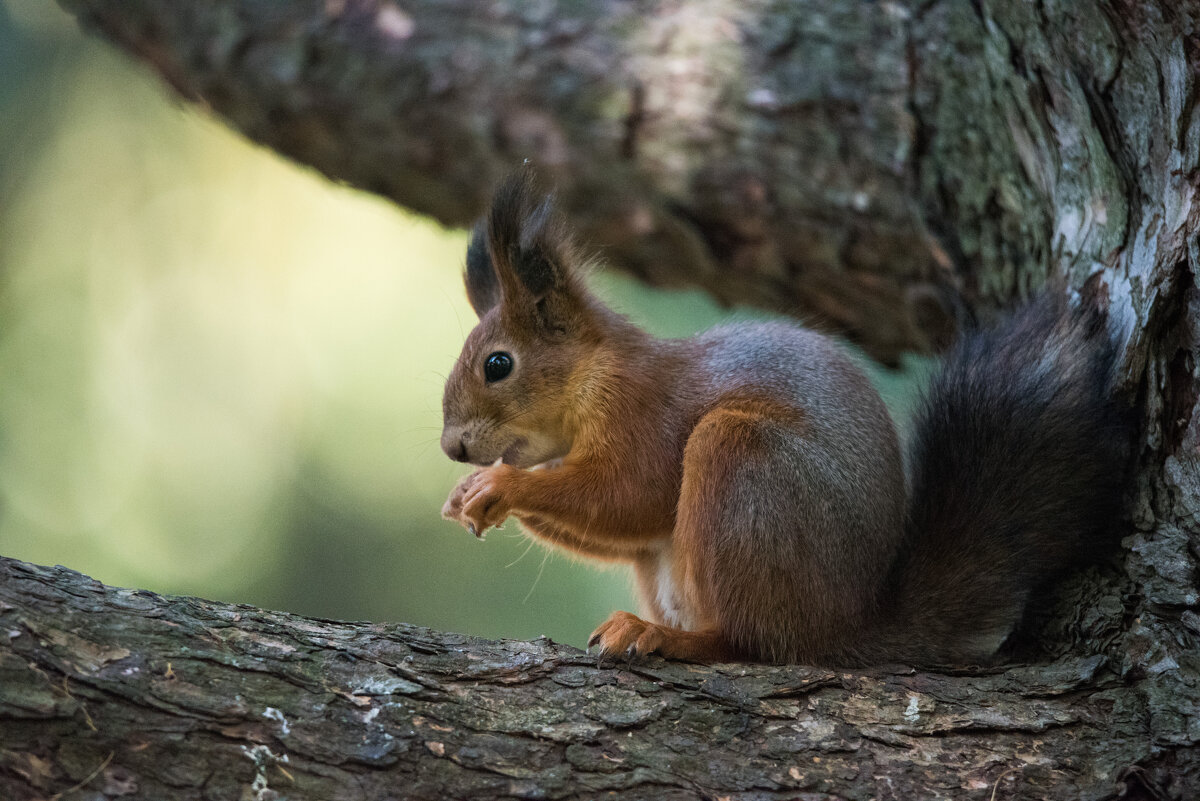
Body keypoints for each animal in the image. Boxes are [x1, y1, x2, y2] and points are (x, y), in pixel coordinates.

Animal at [439, 172, 1123, 666]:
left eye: (498, 364)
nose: (452, 447)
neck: (592, 377)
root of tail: (846, 623)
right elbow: (628, 525)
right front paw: (466, 494)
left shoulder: (645, 411)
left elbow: (629, 494)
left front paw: (501, 485)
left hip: (742, 464)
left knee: (754, 644)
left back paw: (669, 638)